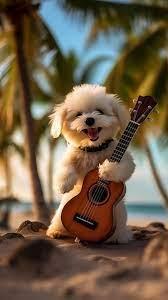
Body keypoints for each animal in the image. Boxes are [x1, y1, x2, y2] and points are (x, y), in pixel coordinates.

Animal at [47, 84, 135, 244]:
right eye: (78, 114)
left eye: (99, 111)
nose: (89, 120)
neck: (93, 148)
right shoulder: (71, 155)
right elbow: (66, 166)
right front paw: (63, 184)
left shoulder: (125, 159)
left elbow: (124, 167)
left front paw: (106, 171)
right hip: (59, 215)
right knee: (59, 223)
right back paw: (56, 232)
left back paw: (117, 238)